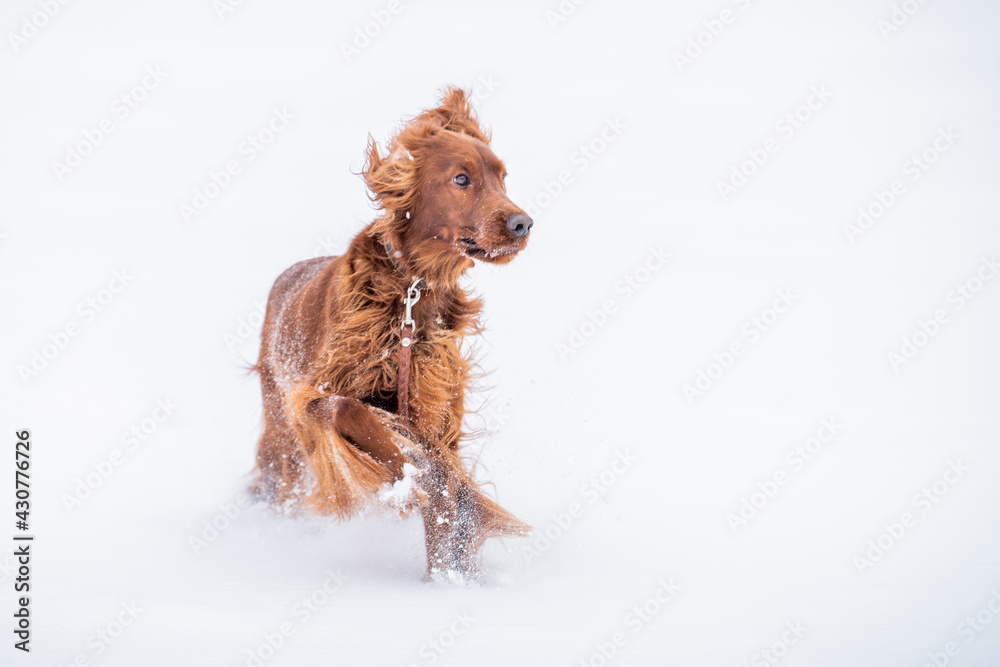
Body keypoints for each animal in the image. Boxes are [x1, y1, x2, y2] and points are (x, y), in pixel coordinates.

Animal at [250, 87, 532, 580]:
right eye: (461, 179)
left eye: (502, 178)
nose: (523, 224)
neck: (411, 292)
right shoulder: (312, 395)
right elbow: (349, 412)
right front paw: (405, 468)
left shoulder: (434, 407)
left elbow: (447, 502)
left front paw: (449, 582)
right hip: (280, 435)